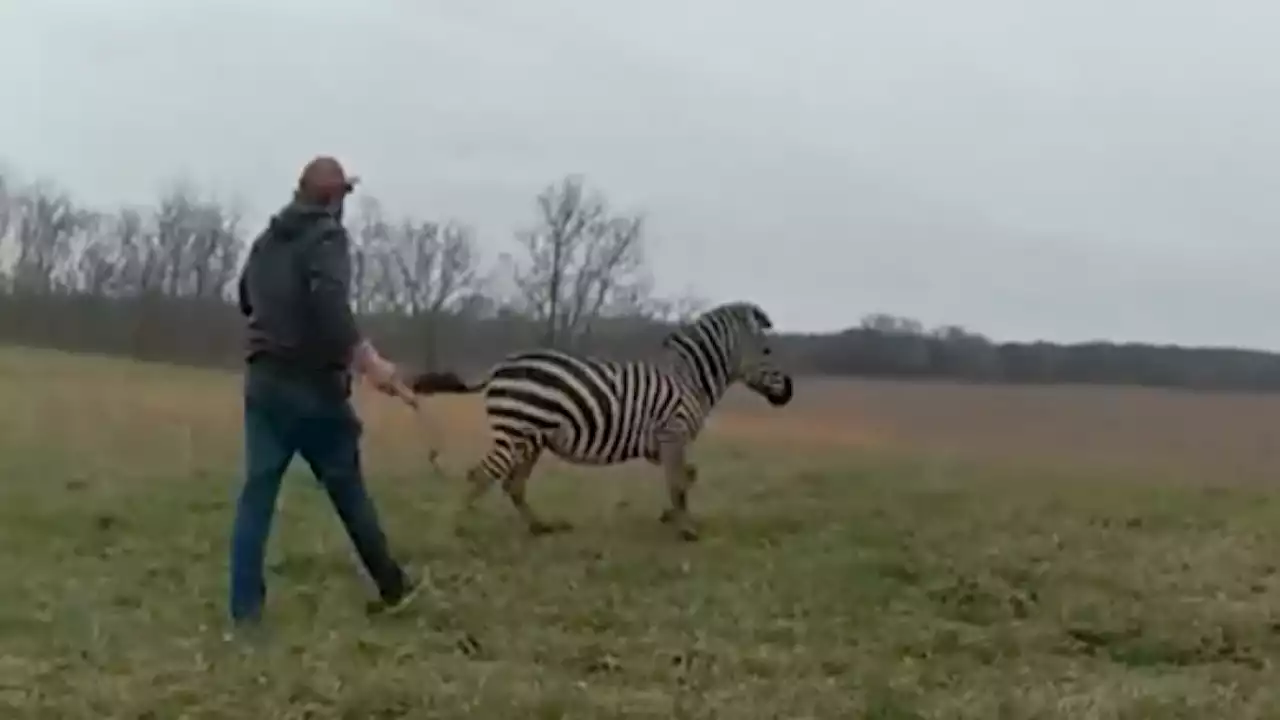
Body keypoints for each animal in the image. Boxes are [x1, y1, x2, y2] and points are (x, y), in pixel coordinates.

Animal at [409, 297, 788, 538]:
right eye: (768, 350)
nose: (789, 391)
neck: (689, 377)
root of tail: (500, 366)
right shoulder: (672, 432)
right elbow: (679, 482)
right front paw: (686, 529)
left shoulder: (665, 444)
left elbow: (686, 477)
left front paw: (673, 517)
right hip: (516, 433)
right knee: (482, 475)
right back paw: (454, 530)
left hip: (531, 439)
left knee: (512, 484)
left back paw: (539, 527)